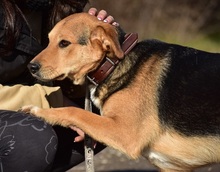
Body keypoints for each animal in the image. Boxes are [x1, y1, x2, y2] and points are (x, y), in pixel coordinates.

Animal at [19, 12, 220, 171]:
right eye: (49, 40)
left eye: (64, 43)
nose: (31, 67)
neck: (113, 64)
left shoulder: (124, 132)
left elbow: (75, 111)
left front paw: (39, 111)